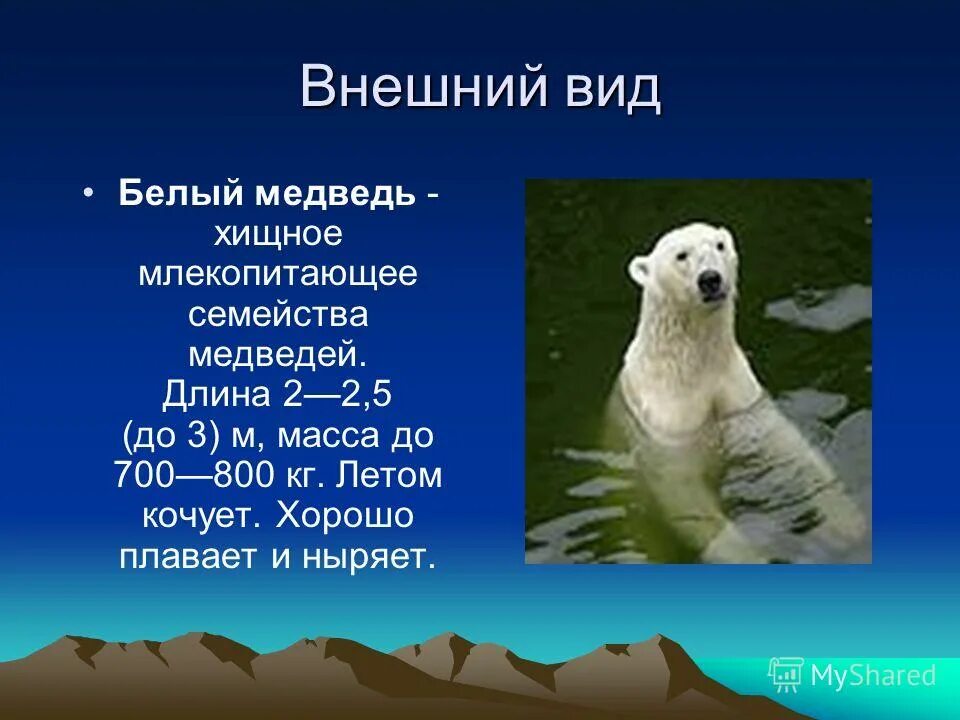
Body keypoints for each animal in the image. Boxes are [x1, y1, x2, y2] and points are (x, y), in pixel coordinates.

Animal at [606, 222, 867, 563]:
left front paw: (847, 522)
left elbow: (787, 444)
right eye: (681, 255)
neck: (690, 368)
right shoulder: (665, 426)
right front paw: (752, 555)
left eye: (719, 245)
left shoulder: (741, 394)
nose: (711, 279)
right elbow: (682, 492)